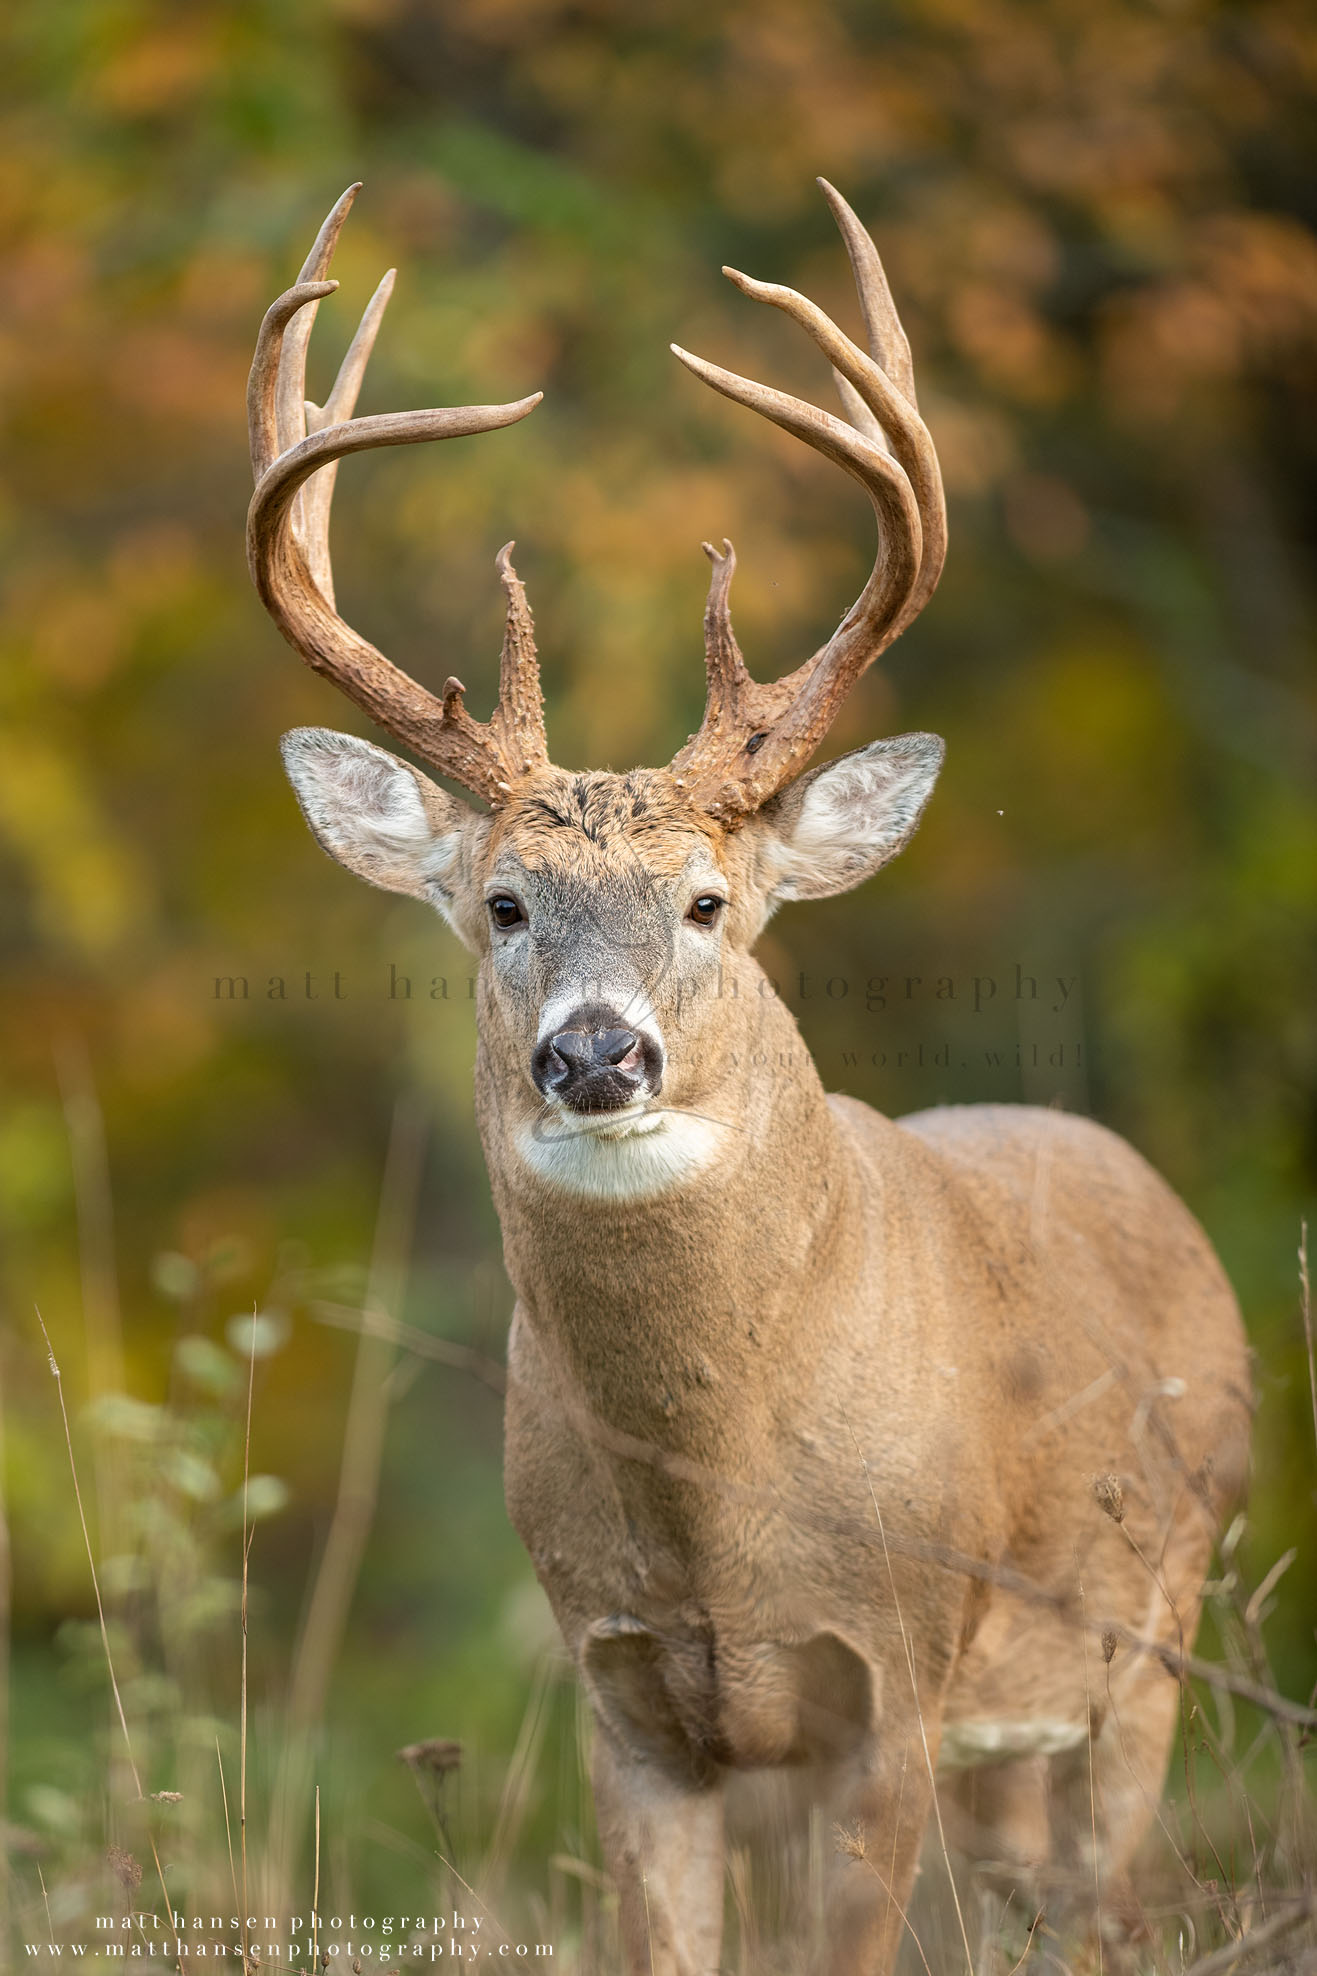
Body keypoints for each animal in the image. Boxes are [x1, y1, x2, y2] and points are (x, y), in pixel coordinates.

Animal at [247, 181, 1252, 1975]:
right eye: (503, 904)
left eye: (709, 901)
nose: (595, 1050)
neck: (717, 1507)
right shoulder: (620, 1692)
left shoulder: (891, 1675)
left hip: (1151, 1630)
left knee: (1106, 1899)